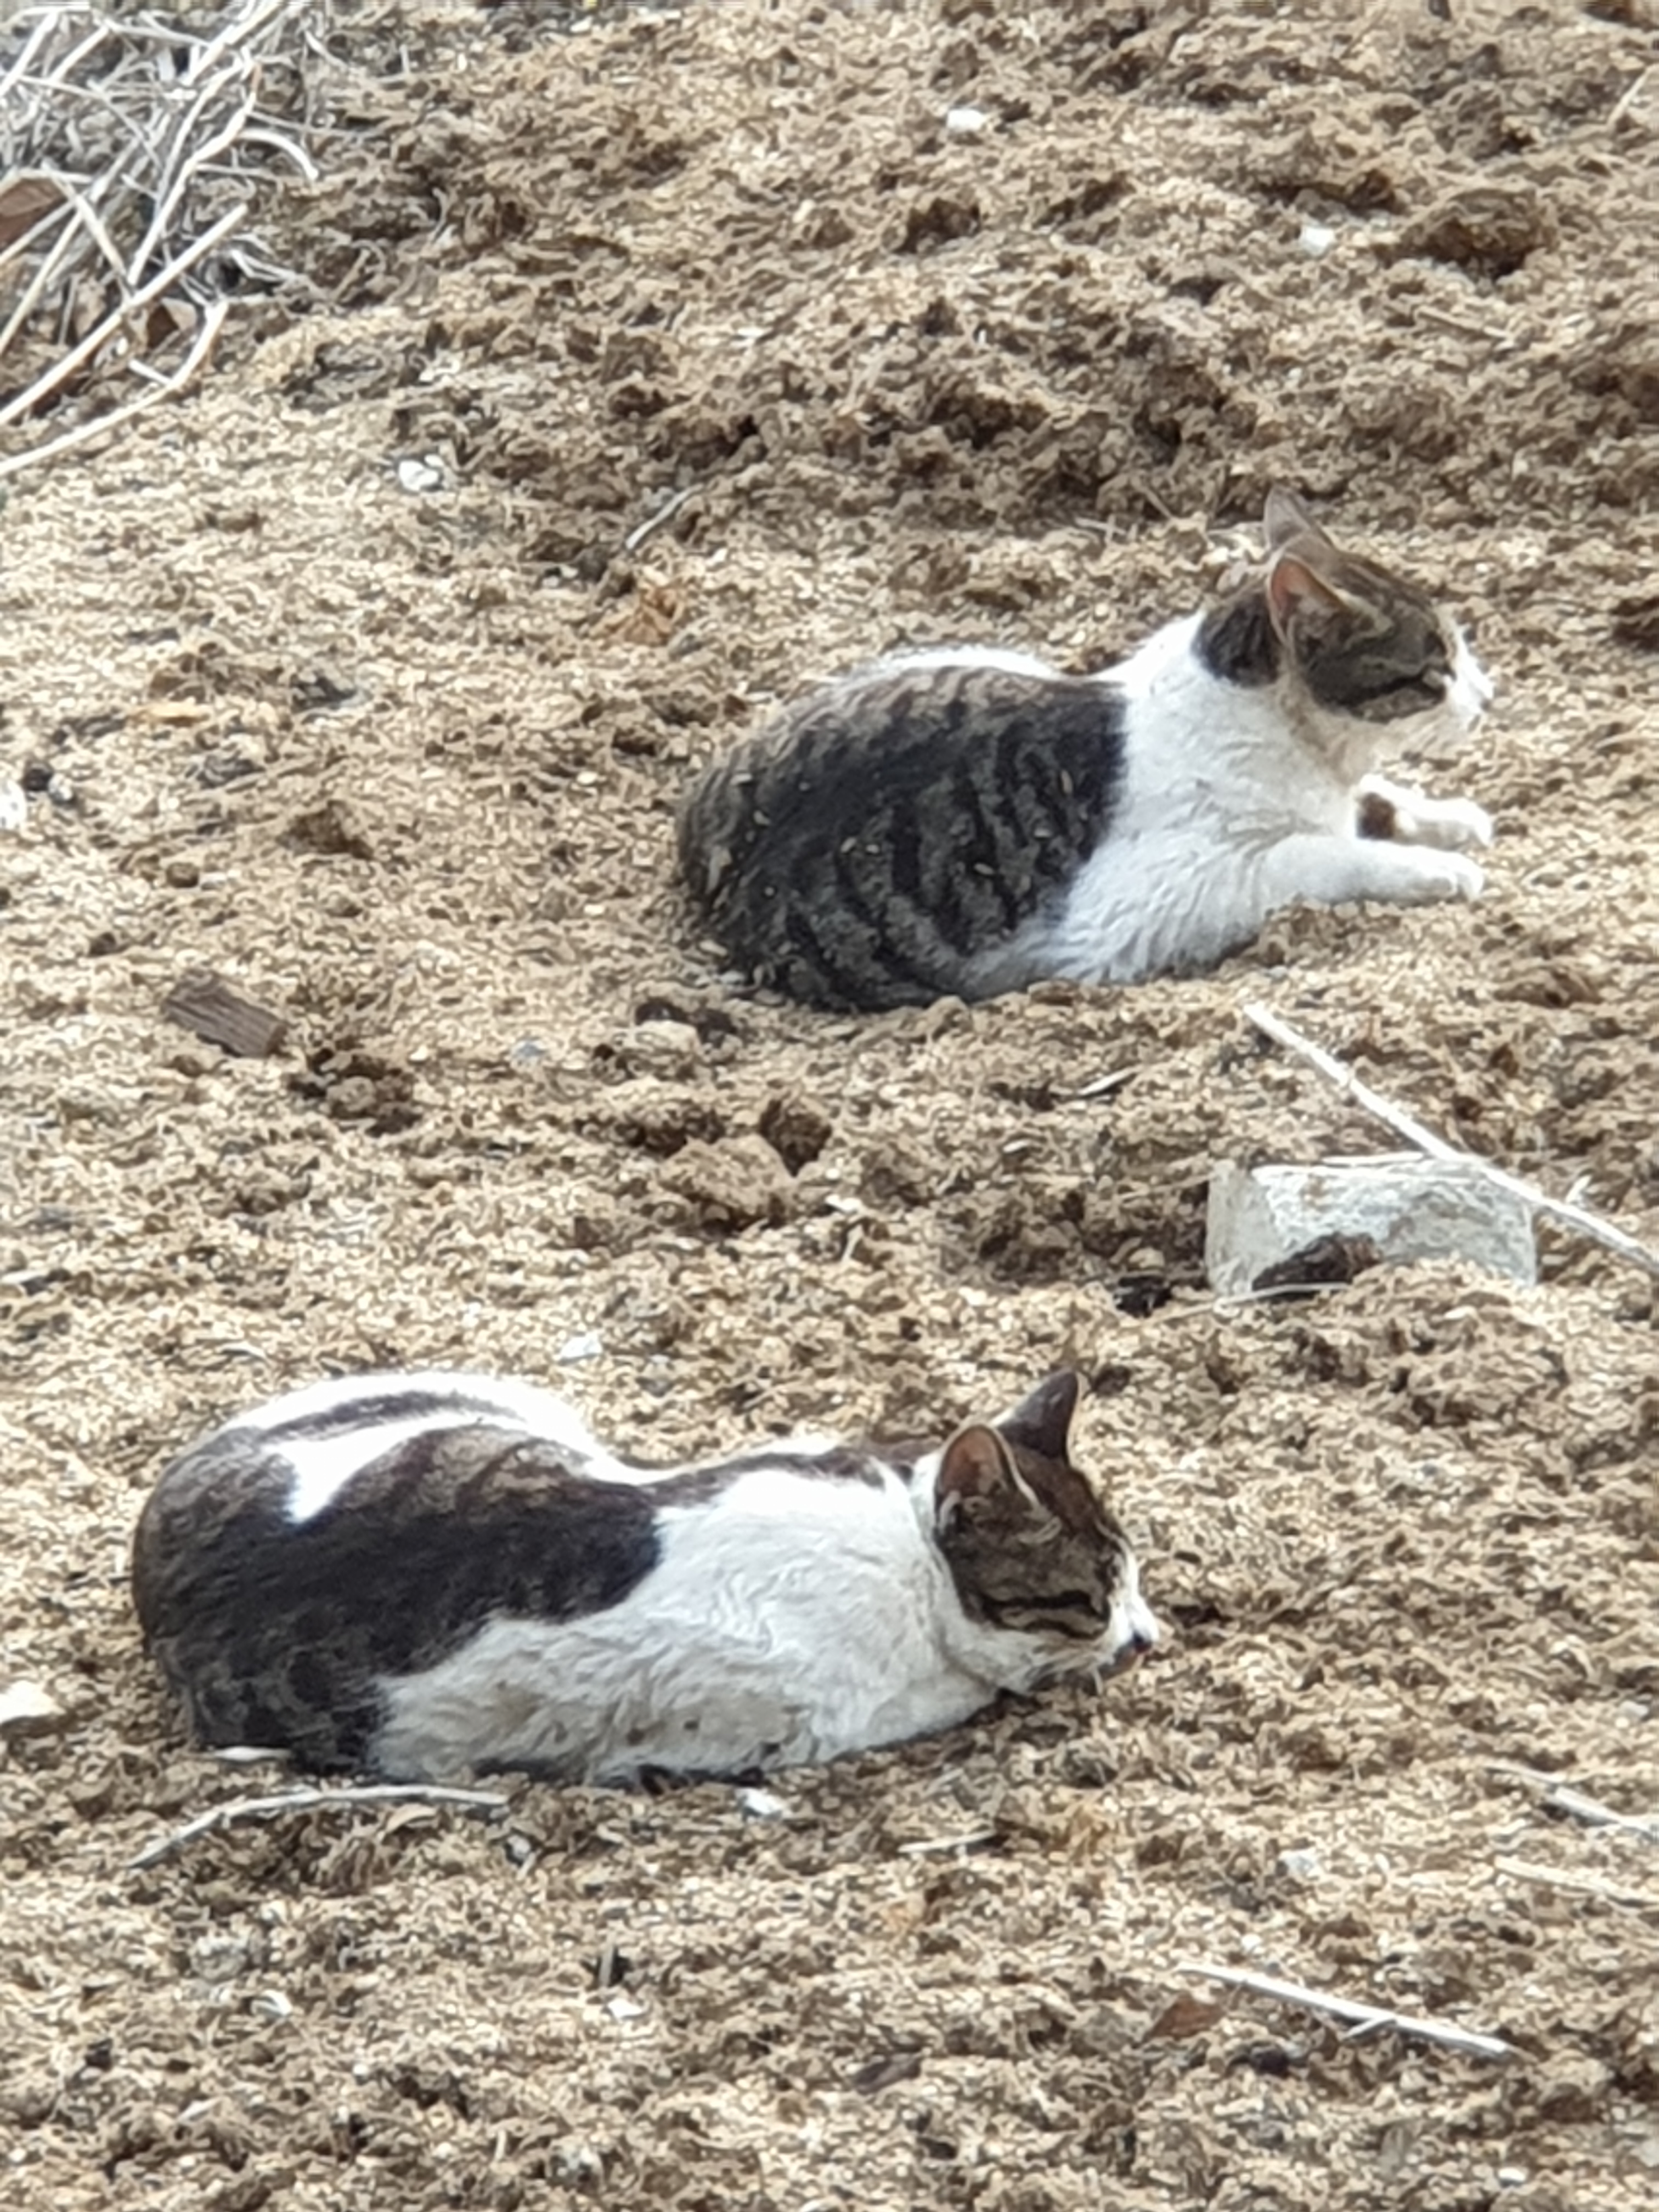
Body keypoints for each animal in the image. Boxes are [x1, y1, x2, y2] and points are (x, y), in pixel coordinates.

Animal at [676, 488, 1495, 1011]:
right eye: (1435, 672)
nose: (1487, 695)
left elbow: (1370, 803)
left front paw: (1451, 818)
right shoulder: (1155, 902)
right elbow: (1321, 854)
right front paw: (1436, 868)